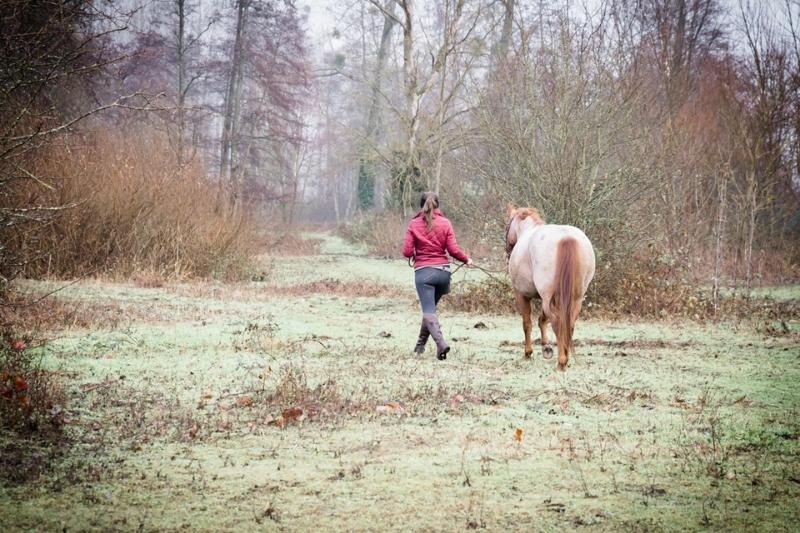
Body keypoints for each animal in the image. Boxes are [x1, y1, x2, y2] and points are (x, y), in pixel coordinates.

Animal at [506, 204, 592, 370]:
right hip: (575, 299)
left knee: (558, 323)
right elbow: (542, 319)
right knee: (569, 324)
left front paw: (528, 353)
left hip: (547, 298)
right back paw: (565, 356)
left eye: (507, 225)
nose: (507, 250)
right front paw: (546, 347)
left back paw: (561, 361)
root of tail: (566, 237)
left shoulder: (522, 295)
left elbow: (527, 323)